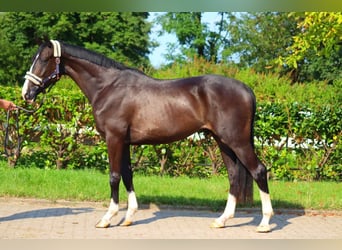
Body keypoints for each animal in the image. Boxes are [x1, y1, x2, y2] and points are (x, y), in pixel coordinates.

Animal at [21, 40, 274, 233]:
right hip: (223, 142)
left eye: (43, 59)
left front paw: (107, 218)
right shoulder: (124, 142)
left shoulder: (114, 139)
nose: (26, 94)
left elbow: (114, 176)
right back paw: (222, 220)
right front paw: (128, 217)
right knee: (233, 176)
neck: (108, 87)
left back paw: (264, 223)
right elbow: (127, 175)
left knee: (259, 171)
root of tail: (246, 89)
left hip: (237, 141)